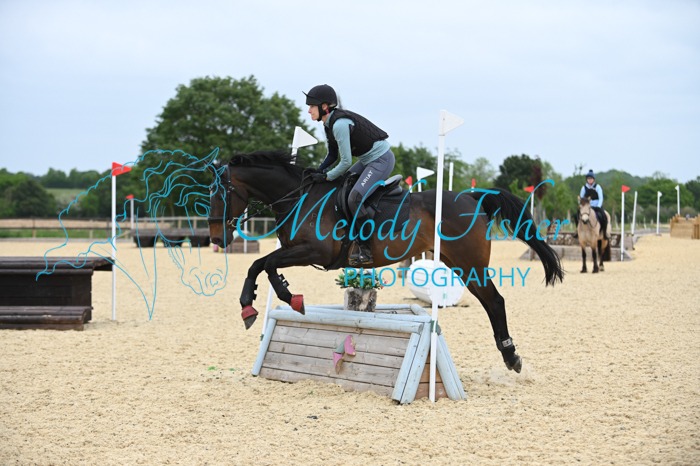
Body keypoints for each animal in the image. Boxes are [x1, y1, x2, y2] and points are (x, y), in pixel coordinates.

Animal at [207, 150, 564, 373]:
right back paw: (510, 356)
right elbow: (260, 265)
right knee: (491, 302)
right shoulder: (295, 249)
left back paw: (511, 356)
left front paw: (286, 298)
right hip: (458, 263)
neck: (300, 198)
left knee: (495, 301)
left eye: (219, 193)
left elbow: (265, 265)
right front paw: (251, 306)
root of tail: (472, 197)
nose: (216, 238)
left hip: (470, 264)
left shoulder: (314, 251)